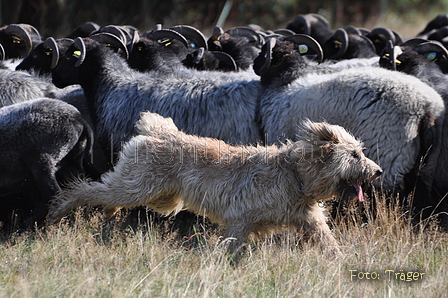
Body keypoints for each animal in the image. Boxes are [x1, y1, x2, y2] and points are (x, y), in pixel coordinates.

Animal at [48, 112, 382, 254]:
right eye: (354, 154)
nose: (378, 172)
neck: (295, 175)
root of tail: (160, 131)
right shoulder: (239, 219)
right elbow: (232, 246)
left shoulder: (310, 220)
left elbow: (329, 244)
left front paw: (340, 263)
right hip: (137, 187)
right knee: (88, 188)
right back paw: (58, 211)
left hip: (162, 198)